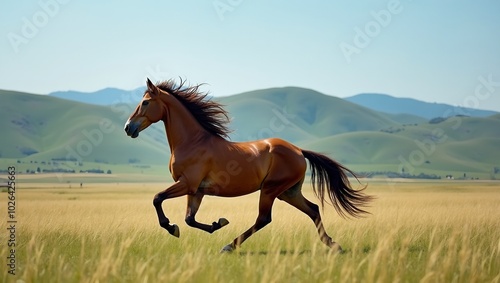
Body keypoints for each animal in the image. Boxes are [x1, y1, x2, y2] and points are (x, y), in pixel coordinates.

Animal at [123, 78, 374, 253]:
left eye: (145, 102)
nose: (128, 128)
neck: (193, 141)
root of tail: (298, 151)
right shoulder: (196, 190)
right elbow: (189, 219)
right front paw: (216, 223)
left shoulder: (187, 184)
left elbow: (157, 199)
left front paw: (172, 226)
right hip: (289, 192)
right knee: (313, 209)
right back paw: (333, 245)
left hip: (271, 189)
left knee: (264, 219)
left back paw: (229, 246)